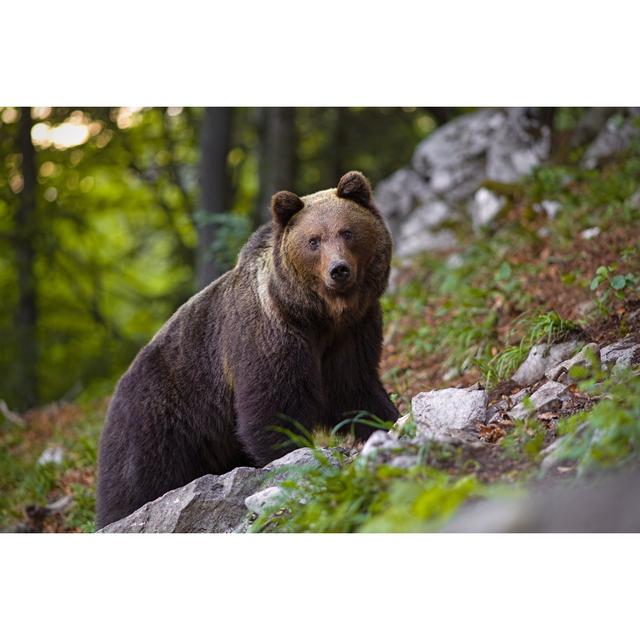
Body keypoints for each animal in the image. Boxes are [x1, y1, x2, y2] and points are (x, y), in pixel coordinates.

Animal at [95, 169, 398, 524]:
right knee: (136, 484)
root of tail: (115, 392)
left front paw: (388, 420)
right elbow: (273, 408)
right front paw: (292, 461)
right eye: (313, 240)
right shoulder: (269, 338)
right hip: (156, 423)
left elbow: (356, 390)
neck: (317, 317)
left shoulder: (352, 334)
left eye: (347, 232)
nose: (338, 270)